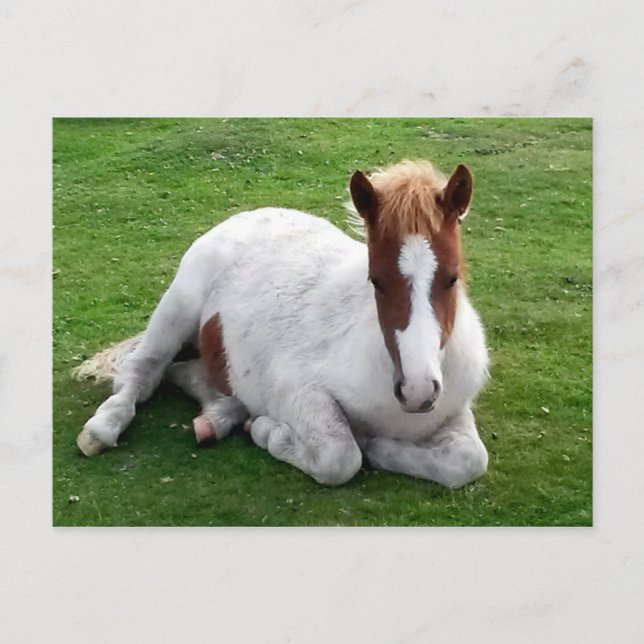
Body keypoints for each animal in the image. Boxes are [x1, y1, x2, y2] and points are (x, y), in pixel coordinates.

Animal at [74, 159, 489, 488]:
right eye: (376, 281)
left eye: (452, 278)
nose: (417, 391)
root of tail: (247, 215)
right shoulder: (296, 388)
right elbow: (341, 456)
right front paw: (269, 433)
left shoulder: (453, 408)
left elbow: (469, 460)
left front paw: (382, 446)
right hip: (177, 308)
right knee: (143, 371)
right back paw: (103, 426)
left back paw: (217, 418)